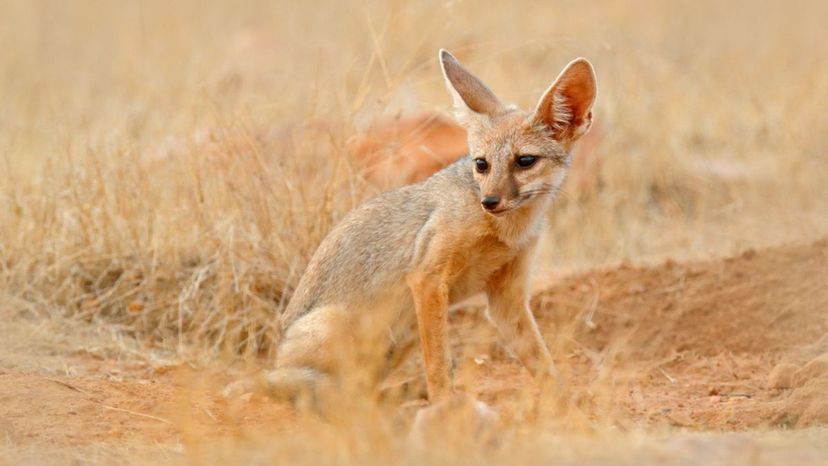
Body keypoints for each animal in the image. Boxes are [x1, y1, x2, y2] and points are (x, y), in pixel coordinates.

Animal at [226, 50, 596, 408]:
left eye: (525, 161)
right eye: (481, 164)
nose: (489, 200)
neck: (505, 231)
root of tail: (278, 357)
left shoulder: (507, 299)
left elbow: (542, 361)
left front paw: (566, 405)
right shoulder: (427, 278)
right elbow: (439, 363)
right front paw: (444, 407)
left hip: (401, 336)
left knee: (363, 388)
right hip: (345, 327)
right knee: (331, 390)